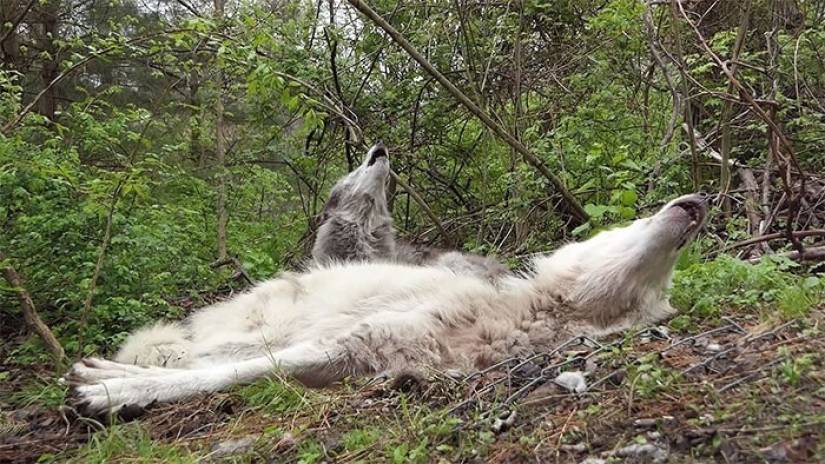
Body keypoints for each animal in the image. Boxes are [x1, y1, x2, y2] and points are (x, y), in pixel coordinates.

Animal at [67, 193, 707, 415]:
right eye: (634, 223)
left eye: (661, 290)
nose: (699, 202)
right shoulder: (339, 342)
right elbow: (225, 375)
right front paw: (109, 391)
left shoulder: (356, 357)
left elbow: (238, 375)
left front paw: (112, 389)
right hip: (258, 324)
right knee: (196, 353)